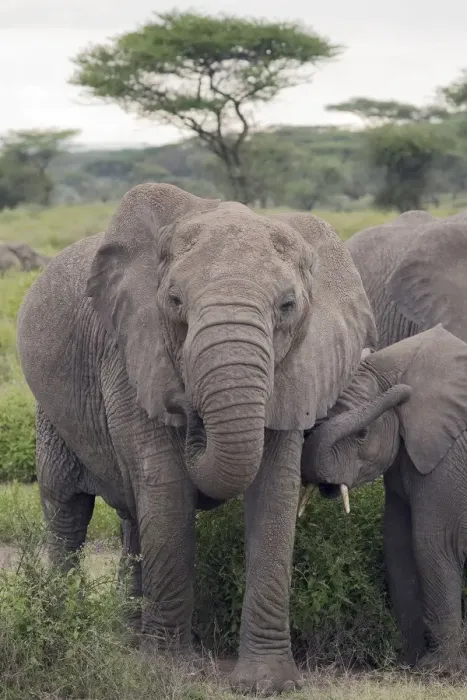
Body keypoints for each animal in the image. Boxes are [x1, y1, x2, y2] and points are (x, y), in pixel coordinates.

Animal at [16, 183, 376, 694]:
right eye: (174, 301)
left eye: (288, 306)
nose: (186, 407)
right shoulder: (130, 356)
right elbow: (167, 491)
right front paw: (164, 673)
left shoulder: (298, 369)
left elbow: (275, 496)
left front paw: (267, 684)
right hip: (51, 414)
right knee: (66, 509)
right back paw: (66, 621)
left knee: (131, 518)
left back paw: (128, 638)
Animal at [301, 324, 467, 669]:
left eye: (363, 435)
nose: (402, 392)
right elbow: (397, 540)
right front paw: (409, 660)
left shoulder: (446, 458)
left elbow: (433, 542)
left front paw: (438, 668)